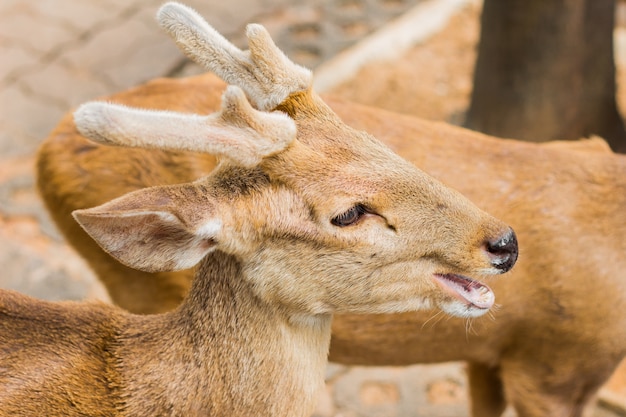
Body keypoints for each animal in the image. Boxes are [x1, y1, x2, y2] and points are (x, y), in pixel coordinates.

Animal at [33, 0, 620, 416]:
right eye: (348, 213)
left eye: (376, 141)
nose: (504, 243)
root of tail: (43, 154)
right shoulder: (553, 367)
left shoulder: (492, 358)